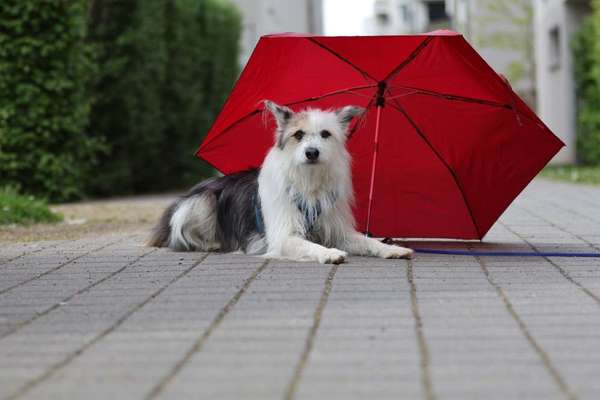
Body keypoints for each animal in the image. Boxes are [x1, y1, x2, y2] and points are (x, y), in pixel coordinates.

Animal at [148, 100, 414, 264]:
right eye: (298, 135)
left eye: (325, 134)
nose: (312, 152)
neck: (308, 181)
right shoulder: (283, 236)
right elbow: (310, 245)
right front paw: (329, 254)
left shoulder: (338, 230)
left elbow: (366, 240)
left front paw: (392, 248)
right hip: (200, 204)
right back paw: (213, 244)